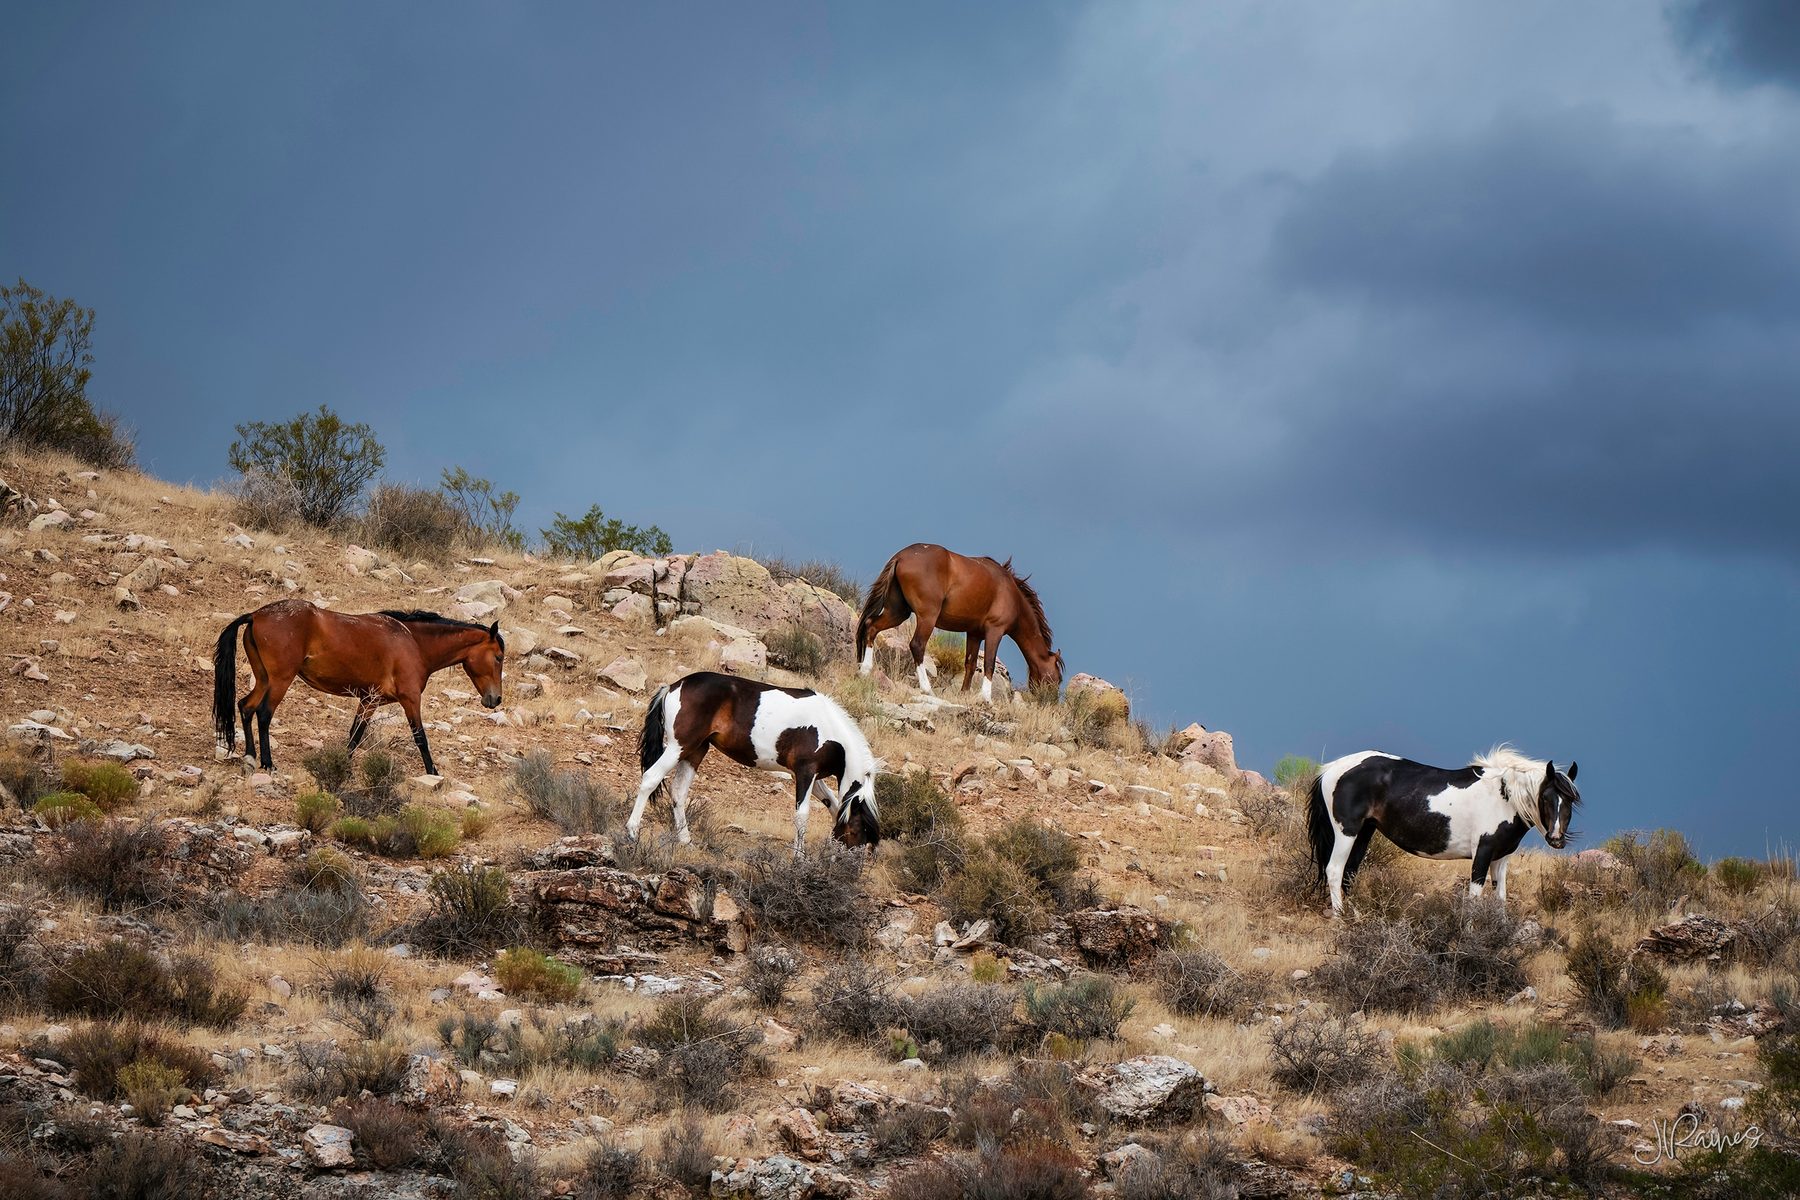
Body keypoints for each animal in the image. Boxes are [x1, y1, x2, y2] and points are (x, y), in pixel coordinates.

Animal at [212, 599, 505, 775]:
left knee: (246, 707)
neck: (414, 642)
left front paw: (342, 766)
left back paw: (250, 758)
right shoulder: (410, 699)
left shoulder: (369, 701)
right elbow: (420, 737)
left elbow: (355, 736)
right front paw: (433, 774)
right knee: (263, 714)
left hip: (264, 679)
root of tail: (256, 615)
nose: (495, 699)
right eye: (499, 657)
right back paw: (268, 763)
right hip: (280, 681)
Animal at [627, 670, 880, 856]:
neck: (830, 731)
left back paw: (685, 840)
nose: (848, 868)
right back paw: (632, 832)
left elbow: (835, 807)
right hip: (678, 747)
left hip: (695, 751)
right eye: (856, 831)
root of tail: (673, 686)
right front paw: (799, 859)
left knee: (678, 792)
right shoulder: (806, 772)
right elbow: (802, 816)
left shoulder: (812, 776)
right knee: (650, 778)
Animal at [855, 542, 1064, 702]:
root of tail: (901, 556)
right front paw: (986, 698)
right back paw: (926, 689)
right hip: (927, 618)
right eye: (1058, 677)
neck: (1012, 595)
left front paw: (964, 693)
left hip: (898, 612)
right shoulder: (994, 631)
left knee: (871, 626)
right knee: (917, 645)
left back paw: (865, 670)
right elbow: (989, 663)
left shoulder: (974, 634)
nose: (1050, 702)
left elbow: (970, 664)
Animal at [1307, 746, 1579, 915]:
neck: (1504, 797)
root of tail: (1331, 769)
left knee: (1350, 872)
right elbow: (1474, 898)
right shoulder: (1482, 853)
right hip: (1347, 832)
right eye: (1545, 798)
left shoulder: (1501, 857)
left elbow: (1500, 898)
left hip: (1364, 832)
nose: (1556, 839)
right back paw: (1341, 918)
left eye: (1571, 800)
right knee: (1335, 870)